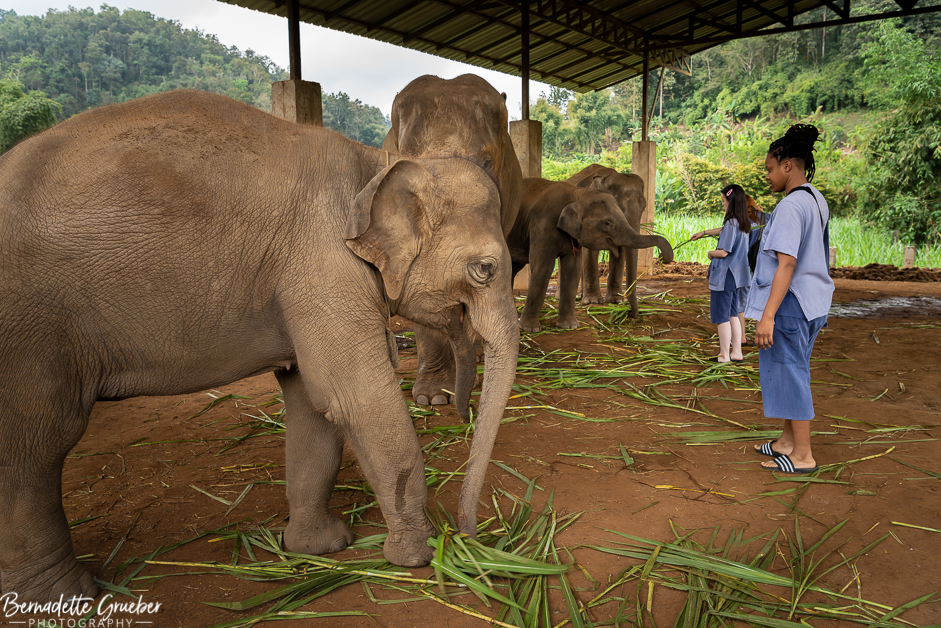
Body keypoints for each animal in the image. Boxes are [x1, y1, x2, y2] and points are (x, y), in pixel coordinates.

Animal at [508, 178, 641, 332]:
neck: (576, 193)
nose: (631, 314)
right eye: (607, 223)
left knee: (512, 268)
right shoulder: (542, 225)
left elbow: (572, 270)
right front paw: (530, 329)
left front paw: (569, 327)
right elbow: (543, 267)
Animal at [566, 164, 674, 317]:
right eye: (617, 207)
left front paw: (616, 301)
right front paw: (593, 301)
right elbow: (590, 251)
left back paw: (581, 297)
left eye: (644, 207)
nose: (631, 314)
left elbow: (620, 250)